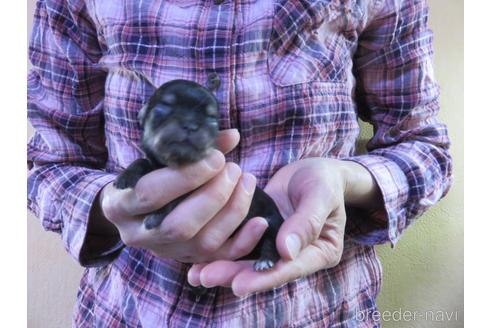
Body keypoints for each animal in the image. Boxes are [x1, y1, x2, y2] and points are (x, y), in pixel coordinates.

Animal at [115, 79, 282, 272]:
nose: (190, 125)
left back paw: (265, 260)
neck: (173, 163)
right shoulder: (154, 163)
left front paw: (155, 217)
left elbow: (178, 198)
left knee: (271, 240)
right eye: (163, 107)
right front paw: (126, 176)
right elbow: (142, 161)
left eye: (211, 119)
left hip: (271, 221)